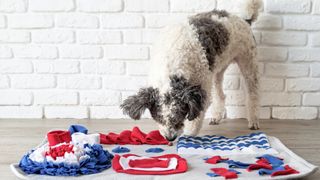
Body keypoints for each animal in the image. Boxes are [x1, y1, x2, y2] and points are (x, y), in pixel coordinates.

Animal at [120, 0, 262, 141]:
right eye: (158, 118)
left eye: (179, 117)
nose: (170, 138)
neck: (172, 62)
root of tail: (244, 20)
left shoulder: (201, 90)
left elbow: (195, 119)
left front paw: (188, 135)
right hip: (217, 70)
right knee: (219, 94)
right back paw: (217, 116)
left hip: (248, 63)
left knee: (253, 94)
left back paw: (253, 120)